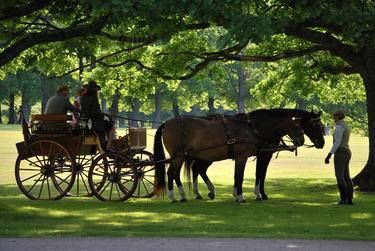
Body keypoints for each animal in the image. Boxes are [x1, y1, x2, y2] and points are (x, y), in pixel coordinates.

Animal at [153, 111, 306, 203]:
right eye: (296, 126)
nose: (301, 141)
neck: (252, 128)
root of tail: (167, 123)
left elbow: (240, 175)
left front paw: (239, 194)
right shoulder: (244, 156)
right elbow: (241, 176)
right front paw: (241, 196)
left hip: (183, 156)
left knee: (180, 173)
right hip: (178, 156)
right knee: (172, 173)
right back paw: (174, 196)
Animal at [189, 109, 324, 201]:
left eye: (322, 126)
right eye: (315, 125)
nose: (322, 143)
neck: (258, 127)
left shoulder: (262, 155)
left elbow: (259, 174)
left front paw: (255, 193)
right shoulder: (264, 155)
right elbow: (260, 173)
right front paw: (260, 194)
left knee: (197, 169)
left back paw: (202, 192)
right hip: (208, 155)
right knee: (197, 168)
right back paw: (203, 191)